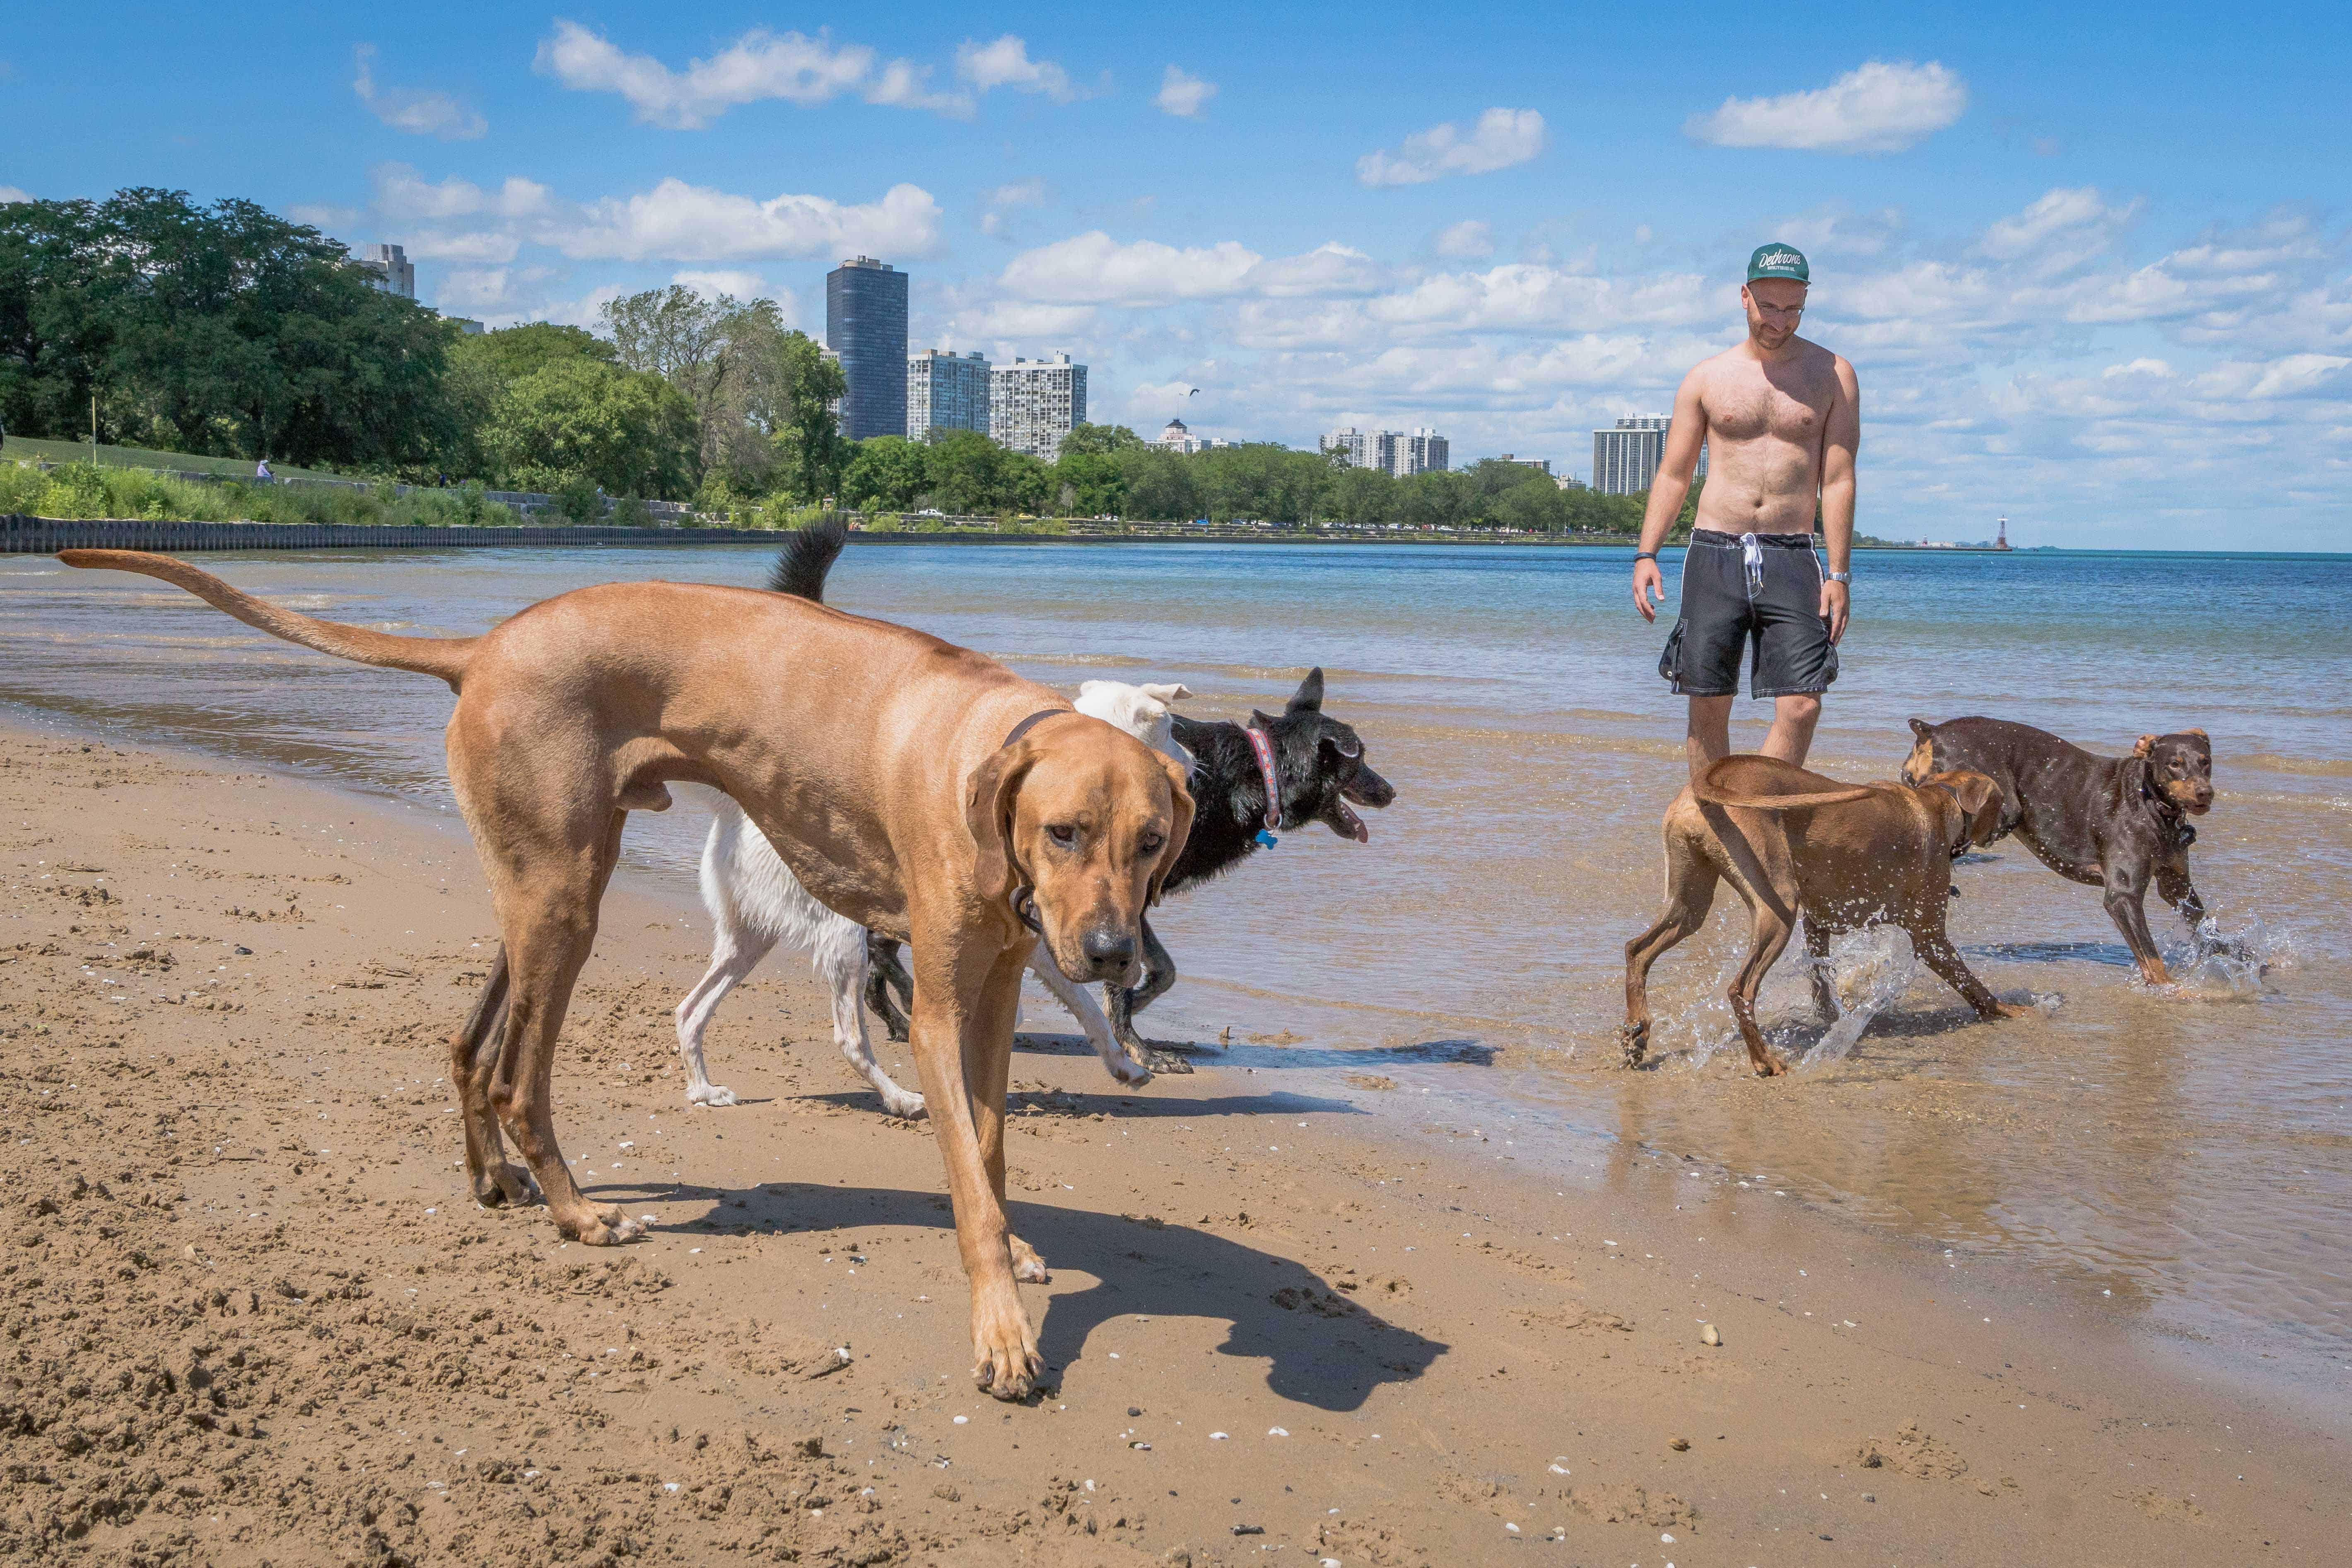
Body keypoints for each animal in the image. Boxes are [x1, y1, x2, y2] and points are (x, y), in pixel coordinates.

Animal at [677, 677, 1194, 1114]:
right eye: (1171, 729)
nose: (1193, 767)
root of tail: (738, 813)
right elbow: (1087, 1004)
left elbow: (1086, 1007)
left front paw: (1124, 1066)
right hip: (841, 939)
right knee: (850, 1039)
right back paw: (902, 1099)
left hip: (749, 938)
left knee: (690, 1010)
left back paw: (704, 1090)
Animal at [1618, 752, 2022, 1072]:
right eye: (2002, 800)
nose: (2014, 821)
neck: (1939, 800)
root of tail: (1712, 776)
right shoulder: (1929, 937)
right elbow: (1971, 984)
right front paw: (2006, 1010)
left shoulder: (1819, 921)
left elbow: (1820, 976)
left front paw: (1831, 1016)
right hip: (1778, 905)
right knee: (1740, 989)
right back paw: (1764, 1061)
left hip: (1691, 902)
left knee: (1637, 949)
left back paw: (1636, 1033)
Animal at [1900, 719, 2229, 987]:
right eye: (2174, 763)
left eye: (2206, 762)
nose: (2205, 793)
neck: (2149, 805)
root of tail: (1932, 731)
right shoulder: (2123, 896)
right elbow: (2153, 962)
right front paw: (2174, 992)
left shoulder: (2176, 885)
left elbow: (2207, 928)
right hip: (1996, 810)